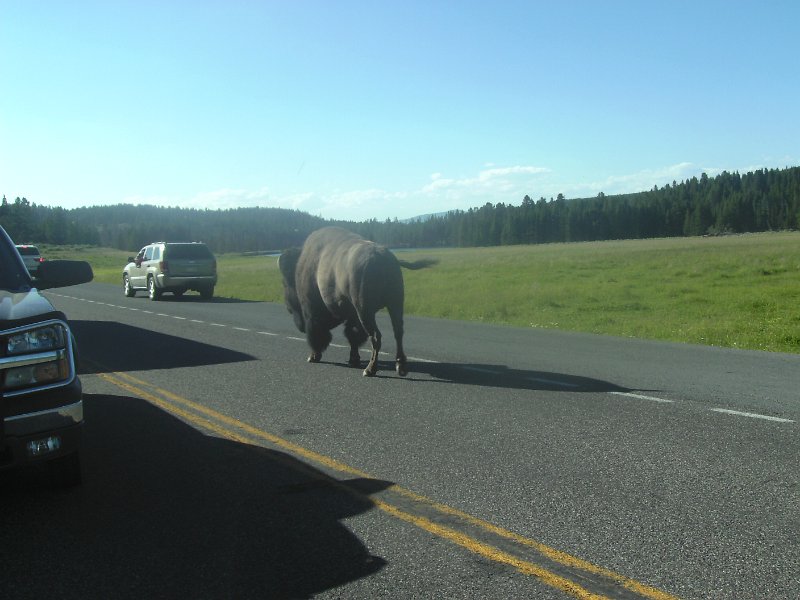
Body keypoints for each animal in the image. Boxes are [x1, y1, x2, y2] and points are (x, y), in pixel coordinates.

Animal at [278, 227, 434, 378]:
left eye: (286, 283)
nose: (288, 307)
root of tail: (384, 257)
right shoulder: (352, 316)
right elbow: (353, 335)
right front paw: (354, 359)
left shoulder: (312, 311)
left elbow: (319, 334)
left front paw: (313, 356)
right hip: (394, 305)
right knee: (398, 332)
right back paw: (400, 367)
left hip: (365, 311)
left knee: (376, 336)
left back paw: (370, 370)